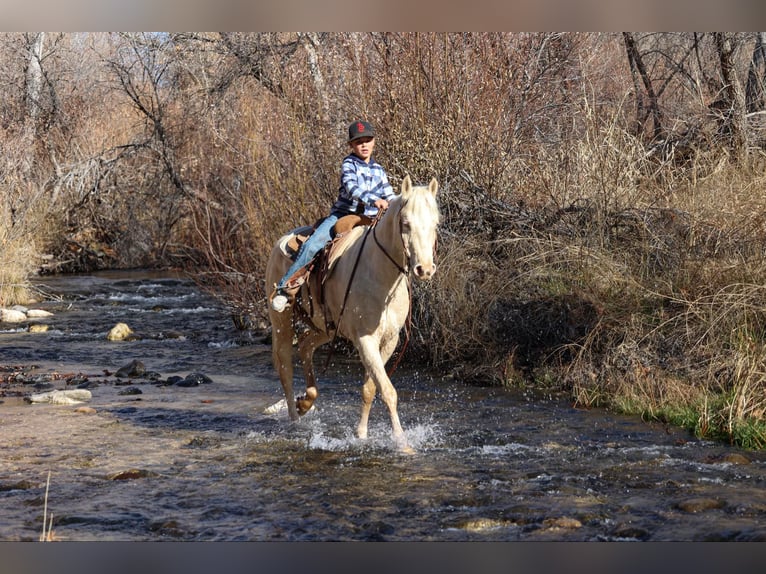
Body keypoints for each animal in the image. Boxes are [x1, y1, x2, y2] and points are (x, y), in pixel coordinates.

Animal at [265, 175, 440, 452]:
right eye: (406, 223)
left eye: (435, 223)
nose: (424, 269)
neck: (380, 275)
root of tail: (282, 239)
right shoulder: (364, 339)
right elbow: (388, 390)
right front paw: (402, 443)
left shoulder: (389, 340)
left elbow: (371, 388)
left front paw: (361, 434)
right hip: (281, 323)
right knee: (285, 368)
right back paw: (295, 419)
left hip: (326, 328)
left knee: (305, 345)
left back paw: (307, 401)